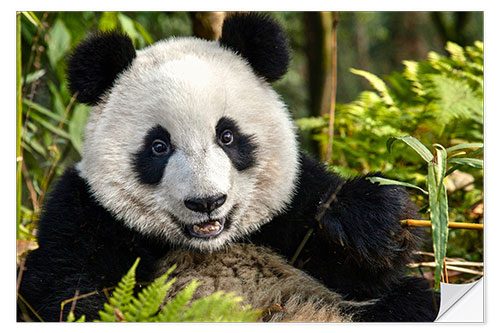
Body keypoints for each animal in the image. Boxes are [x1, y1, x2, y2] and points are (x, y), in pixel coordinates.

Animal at [17, 13, 438, 322]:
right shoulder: (85, 213)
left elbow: (361, 271)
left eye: (227, 136)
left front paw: (369, 219)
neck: (209, 246)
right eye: (158, 146)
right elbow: (67, 291)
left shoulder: (290, 206)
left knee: (413, 301)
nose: (206, 202)